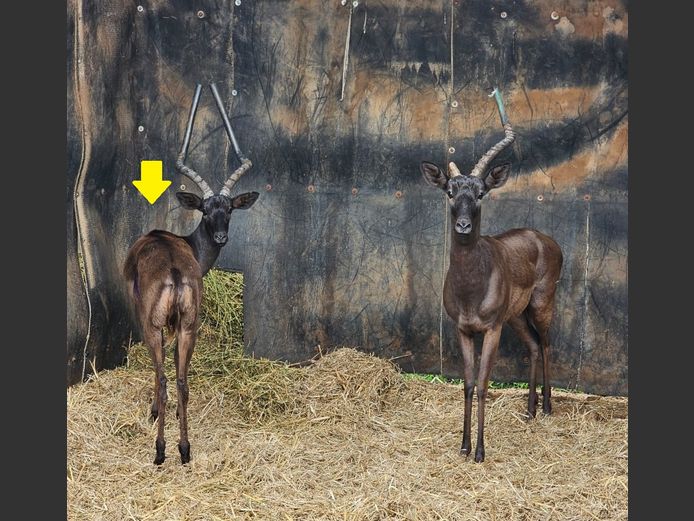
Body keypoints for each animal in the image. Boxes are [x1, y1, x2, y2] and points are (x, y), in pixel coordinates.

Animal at [124, 84, 259, 465]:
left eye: (229, 209)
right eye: (207, 209)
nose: (221, 237)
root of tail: (173, 272)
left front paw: (156, 415)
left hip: (154, 327)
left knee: (163, 379)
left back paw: (160, 450)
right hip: (189, 326)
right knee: (182, 380)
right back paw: (184, 449)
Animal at [420, 89, 563, 462]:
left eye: (481, 192)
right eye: (450, 191)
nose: (463, 226)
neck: (471, 289)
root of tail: (546, 239)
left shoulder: (492, 329)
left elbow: (484, 384)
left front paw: (481, 451)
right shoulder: (464, 330)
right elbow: (469, 385)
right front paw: (464, 446)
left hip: (541, 305)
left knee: (546, 343)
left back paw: (547, 408)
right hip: (516, 316)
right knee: (532, 345)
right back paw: (529, 410)